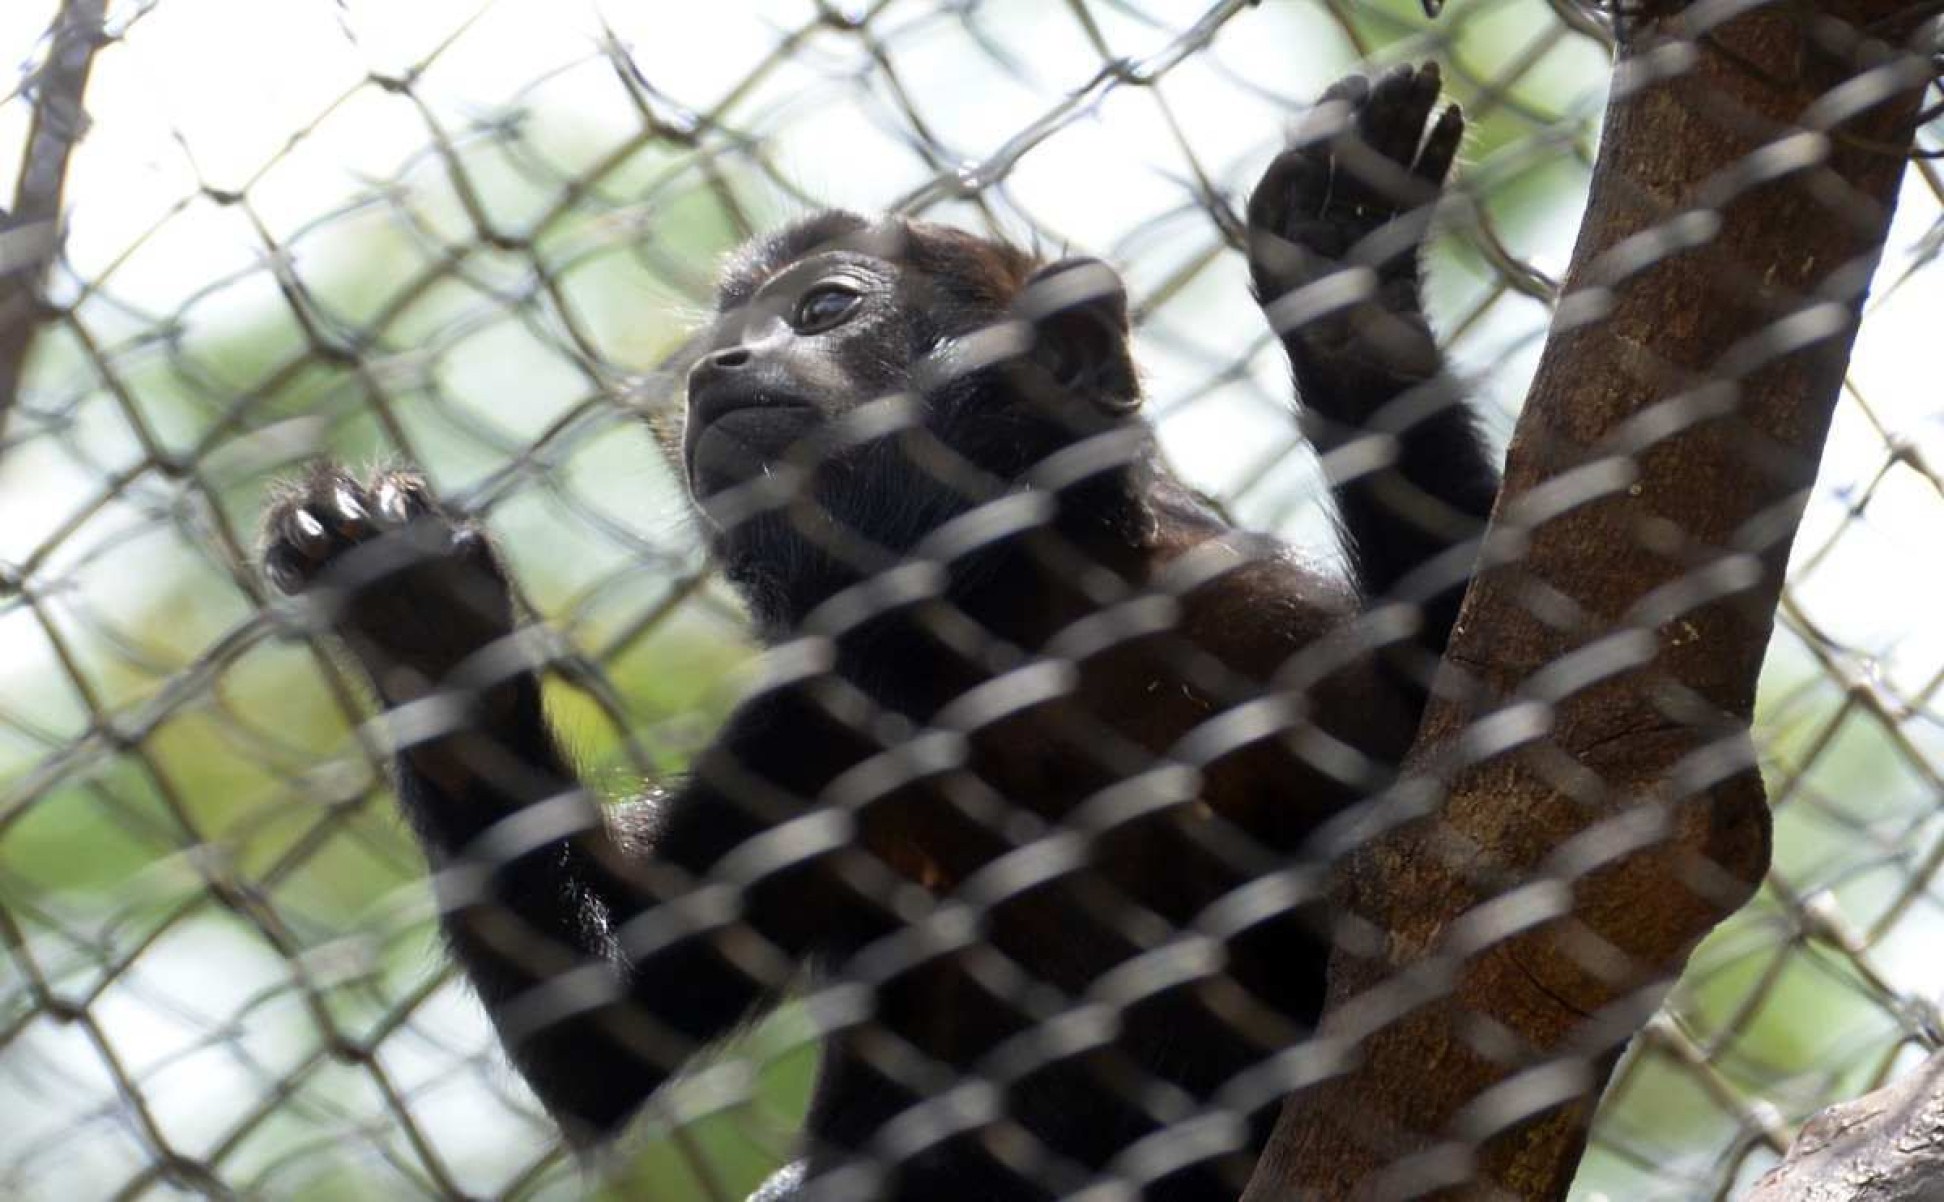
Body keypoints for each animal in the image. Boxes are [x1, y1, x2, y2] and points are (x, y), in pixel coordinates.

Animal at [262, 68, 1500, 1198]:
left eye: (823, 309)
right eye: (718, 342)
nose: (717, 370)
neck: (1002, 637)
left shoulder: (1252, 616)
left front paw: (1347, 294)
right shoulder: (807, 731)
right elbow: (605, 1035)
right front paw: (416, 618)